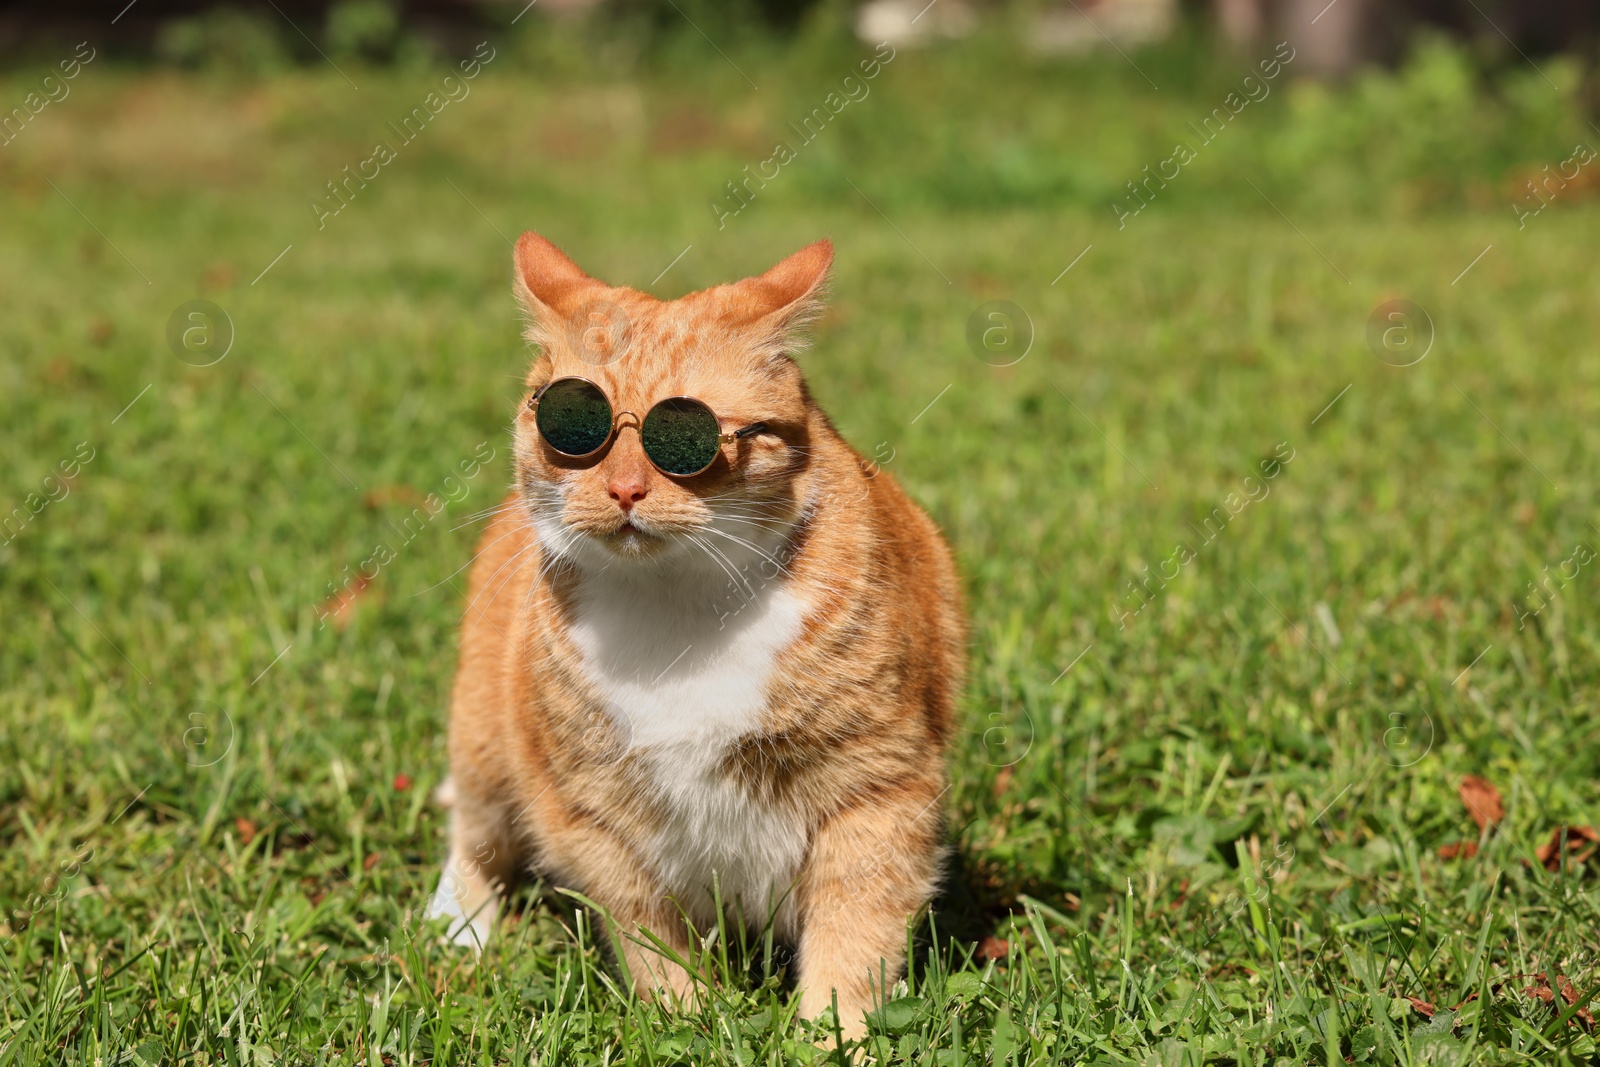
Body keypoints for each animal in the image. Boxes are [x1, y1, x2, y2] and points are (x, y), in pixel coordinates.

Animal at [425, 231, 966, 1036]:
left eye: (686, 435)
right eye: (570, 426)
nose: (623, 488)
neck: (676, 607)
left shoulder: (879, 788)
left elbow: (854, 939)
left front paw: (833, 1039)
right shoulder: (595, 814)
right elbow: (652, 943)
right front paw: (689, 1025)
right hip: (486, 747)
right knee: (474, 837)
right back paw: (459, 929)